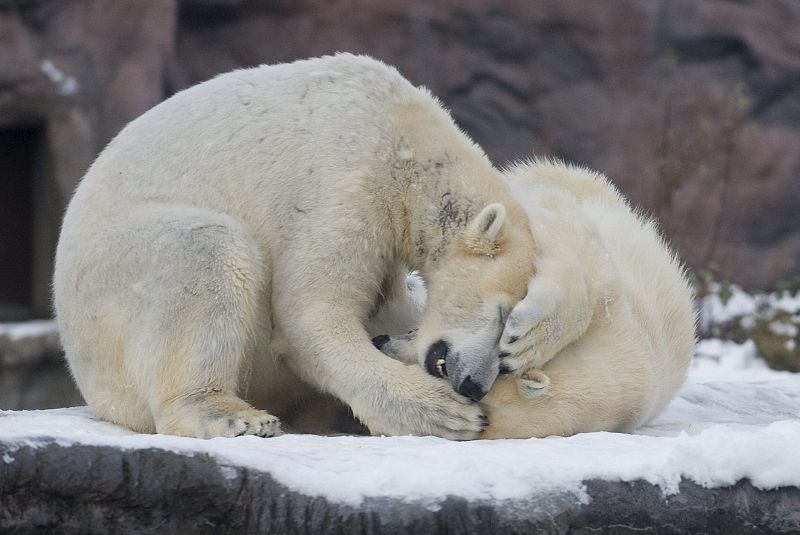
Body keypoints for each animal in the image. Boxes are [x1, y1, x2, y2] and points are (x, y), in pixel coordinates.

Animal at [53, 53, 536, 440]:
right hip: (112, 277)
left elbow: (390, 303)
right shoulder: (343, 182)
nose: (473, 384)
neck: (404, 139)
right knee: (205, 251)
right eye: (501, 316)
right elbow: (311, 315)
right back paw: (235, 416)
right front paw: (447, 413)